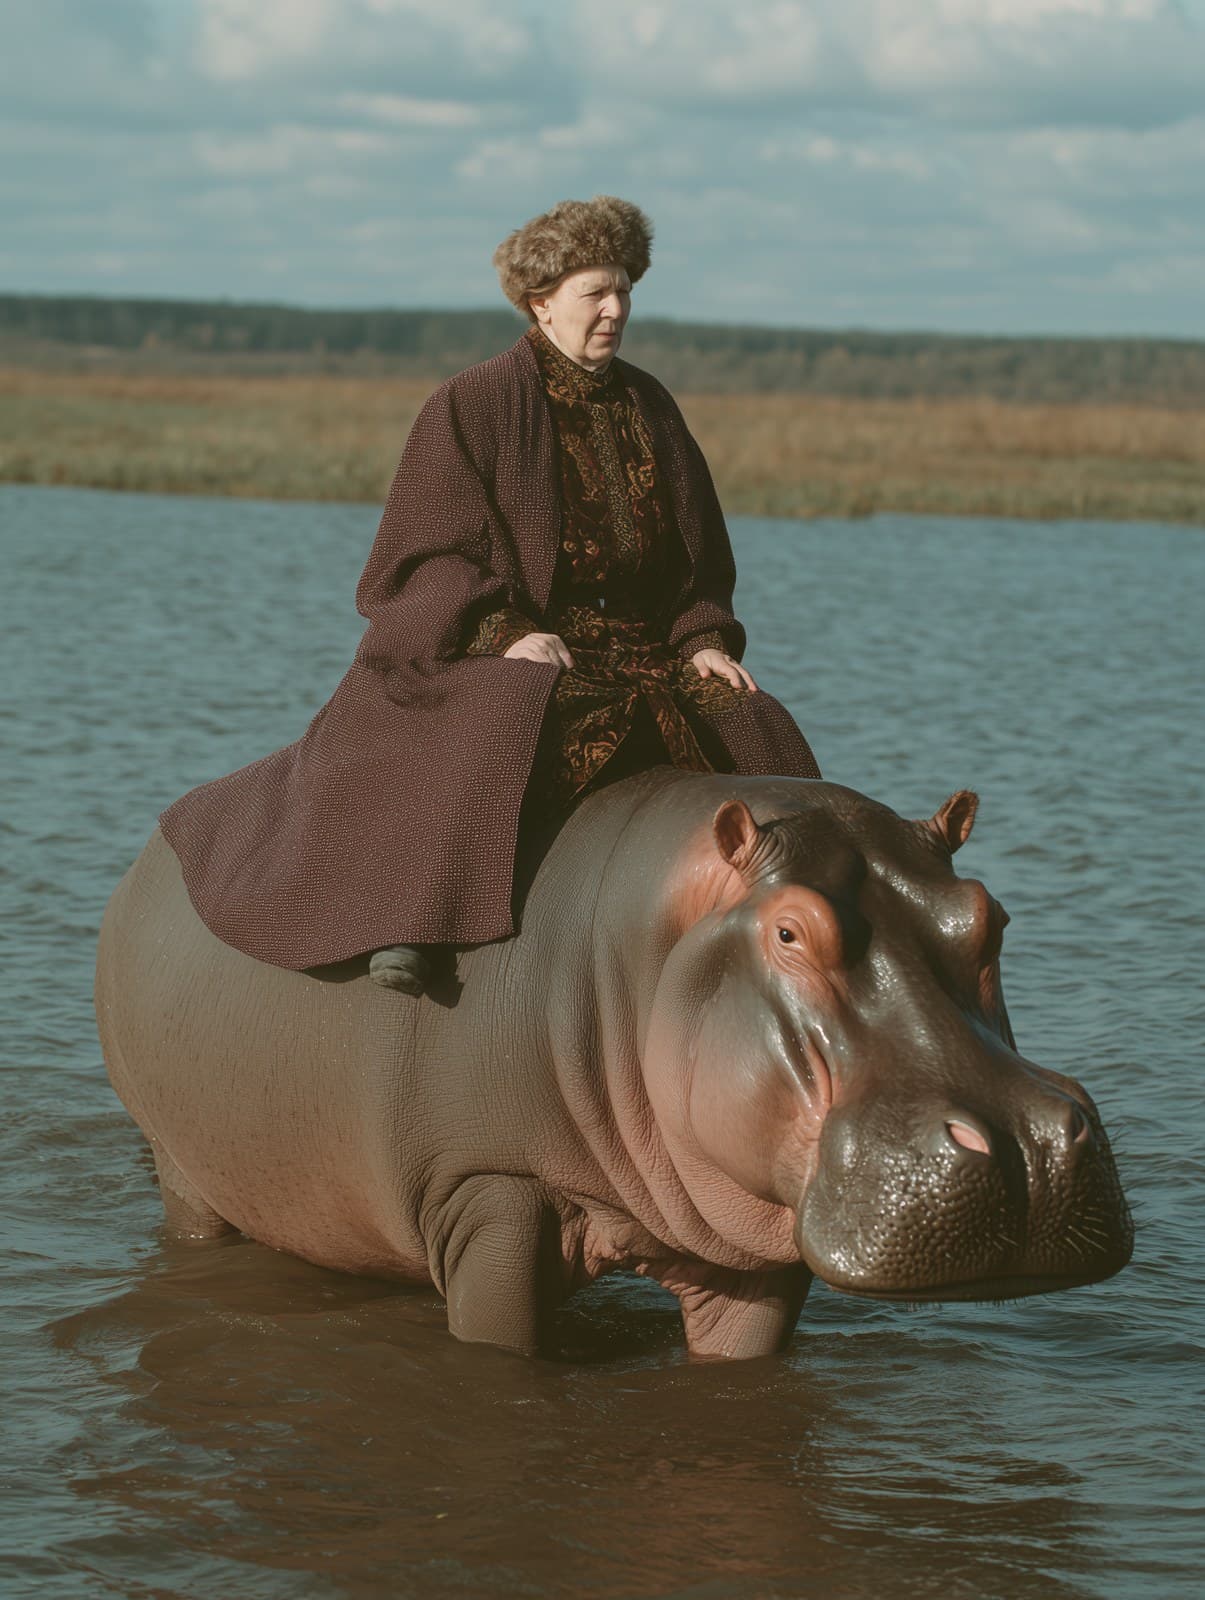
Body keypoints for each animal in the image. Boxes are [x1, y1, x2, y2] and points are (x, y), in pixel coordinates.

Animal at [95, 772, 1133, 1360]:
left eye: (988, 915)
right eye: (788, 930)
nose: (1026, 1146)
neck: (640, 945)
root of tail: (153, 848)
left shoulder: (749, 1254)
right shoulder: (488, 1190)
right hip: (182, 1171)